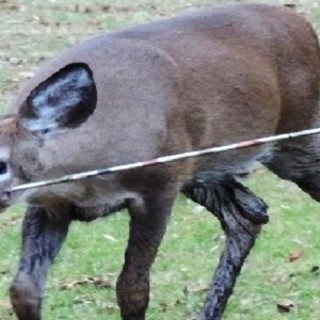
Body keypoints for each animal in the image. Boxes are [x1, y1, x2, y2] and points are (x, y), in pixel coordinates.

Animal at [0, 3, 320, 320]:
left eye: (2, 164)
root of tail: (302, 24)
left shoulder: (159, 185)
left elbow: (132, 289)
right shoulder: (49, 203)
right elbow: (23, 289)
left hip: (296, 140)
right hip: (203, 168)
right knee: (249, 212)